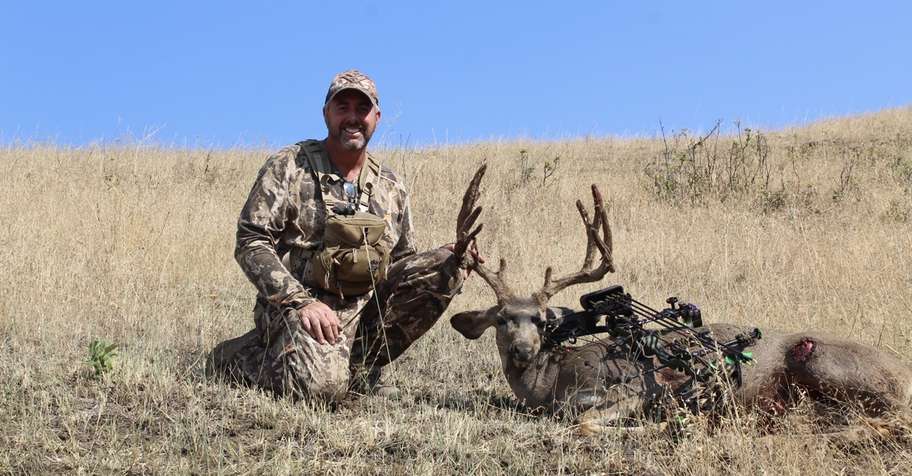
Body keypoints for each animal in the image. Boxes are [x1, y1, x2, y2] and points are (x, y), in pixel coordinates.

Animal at [450, 167, 912, 438]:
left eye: (544, 320)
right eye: (502, 320)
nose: (522, 349)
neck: (550, 385)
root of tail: (903, 371)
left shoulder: (637, 388)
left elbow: (585, 422)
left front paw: (655, 427)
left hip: (823, 361)